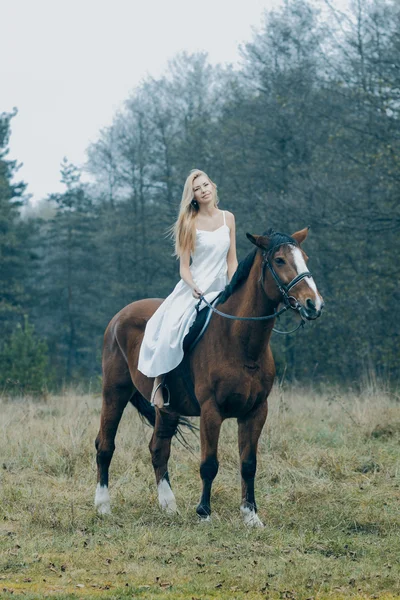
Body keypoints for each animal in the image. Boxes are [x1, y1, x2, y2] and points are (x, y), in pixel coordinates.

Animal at [95, 229, 324, 524]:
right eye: (280, 260)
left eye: (304, 257)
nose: (313, 304)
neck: (240, 342)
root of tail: (118, 318)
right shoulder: (211, 410)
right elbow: (209, 464)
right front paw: (204, 513)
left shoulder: (256, 411)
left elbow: (249, 464)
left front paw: (251, 515)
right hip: (115, 392)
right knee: (105, 445)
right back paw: (103, 505)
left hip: (166, 408)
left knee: (158, 449)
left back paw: (168, 505)